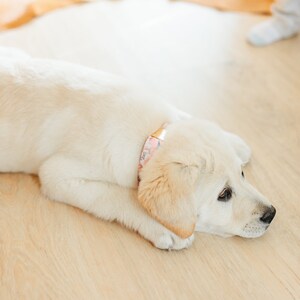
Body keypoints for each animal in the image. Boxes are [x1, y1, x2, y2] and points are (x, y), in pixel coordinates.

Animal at [0, 48, 276, 250]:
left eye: (242, 174)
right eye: (224, 194)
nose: (271, 214)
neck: (149, 139)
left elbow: (181, 115)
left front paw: (233, 142)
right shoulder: (58, 175)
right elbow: (118, 196)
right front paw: (161, 227)